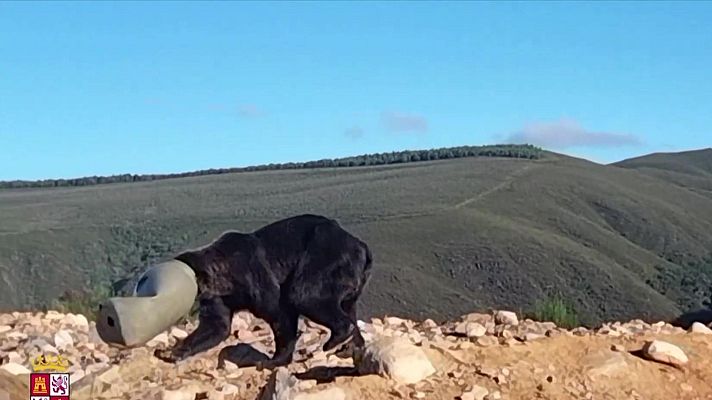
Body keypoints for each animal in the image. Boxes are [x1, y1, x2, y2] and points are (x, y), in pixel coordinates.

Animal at [153, 214, 373, 370]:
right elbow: (216, 326)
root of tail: (362, 247)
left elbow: (280, 314)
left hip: (325, 256)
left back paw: (336, 339)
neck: (223, 277)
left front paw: (274, 360)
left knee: (305, 294)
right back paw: (351, 347)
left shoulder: (254, 276)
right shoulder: (219, 299)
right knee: (347, 307)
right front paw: (170, 351)